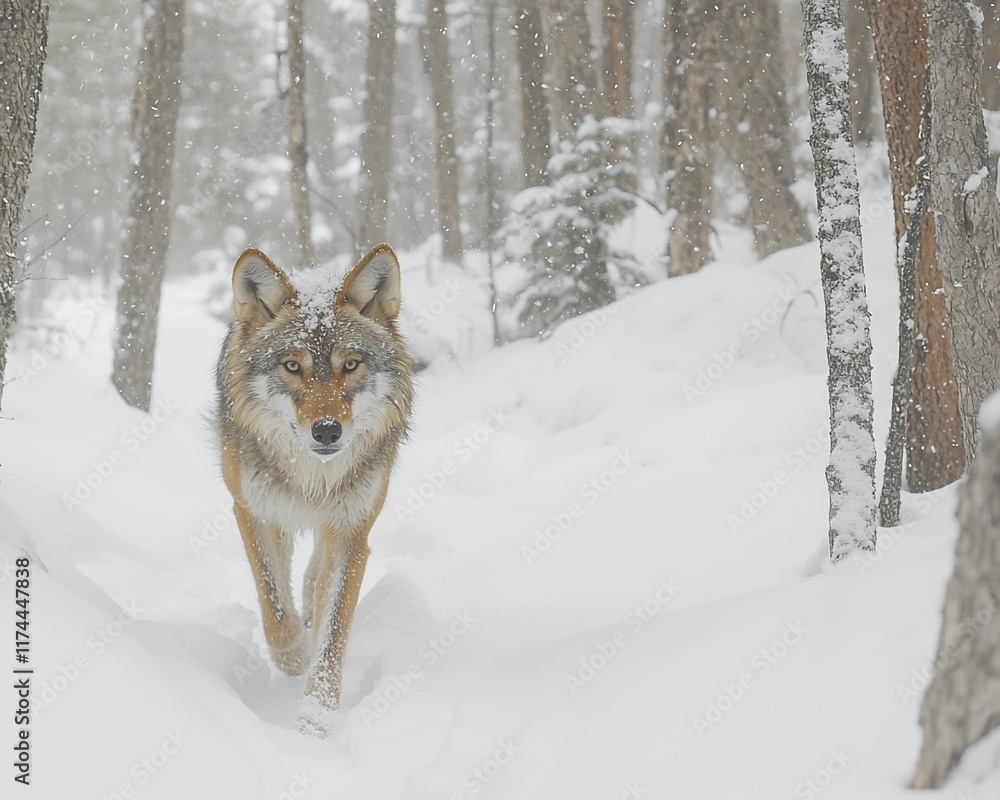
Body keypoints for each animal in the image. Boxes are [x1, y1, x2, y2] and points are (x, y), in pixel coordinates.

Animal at [215, 244, 414, 735]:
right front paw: (292, 658)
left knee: (315, 573)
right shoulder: (253, 511)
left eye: (350, 365)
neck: (313, 476)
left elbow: (335, 628)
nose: (327, 431)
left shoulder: (353, 532)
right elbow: (274, 608)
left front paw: (315, 716)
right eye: (292, 366)